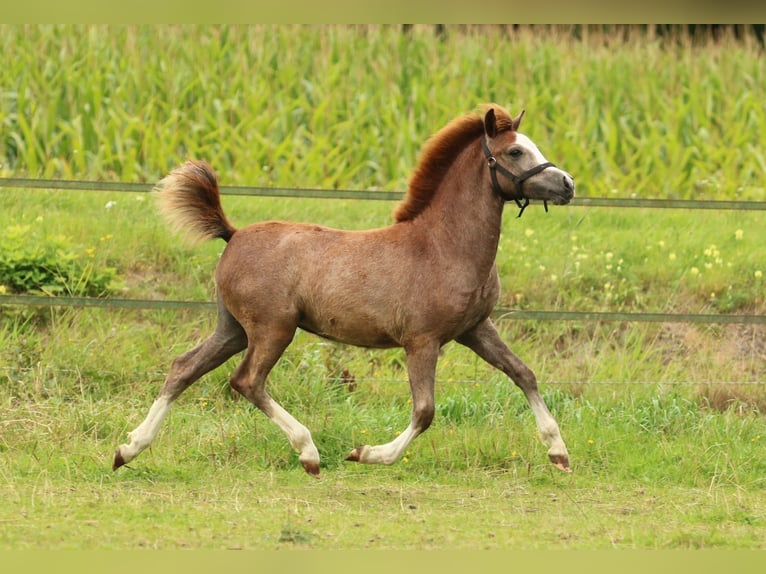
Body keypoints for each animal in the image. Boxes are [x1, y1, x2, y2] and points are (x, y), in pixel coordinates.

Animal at [113, 104, 575, 477]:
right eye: (515, 152)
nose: (567, 184)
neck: (443, 246)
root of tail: (234, 233)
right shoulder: (422, 341)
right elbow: (425, 411)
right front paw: (367, 453)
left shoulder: (476, 329)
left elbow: (523, 373)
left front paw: (559, 452)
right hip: (273, 328)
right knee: (247, 381)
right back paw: (309, 453)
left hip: (234, 329)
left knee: (184, 368)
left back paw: (128, 449)